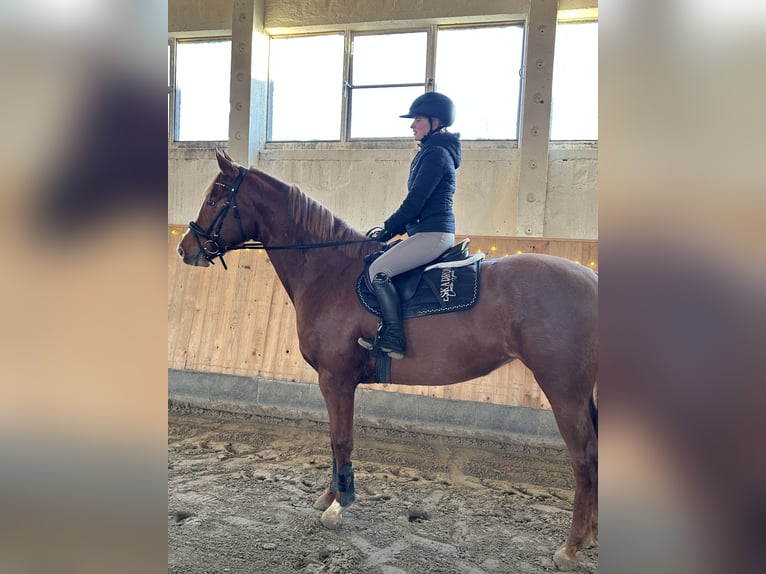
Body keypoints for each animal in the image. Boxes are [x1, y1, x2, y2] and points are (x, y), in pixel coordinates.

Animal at [177, 148, 598, 571]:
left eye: (213, 200)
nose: (185, 249)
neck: (330, 274)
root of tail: (591, 281)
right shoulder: (334, 381)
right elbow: (334, 439)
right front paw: (329, 497)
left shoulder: (336, 379)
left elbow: (341, 440)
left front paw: (338, 507)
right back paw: (589, 536)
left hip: (564, 391)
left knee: (584, 459)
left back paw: (571, 547)